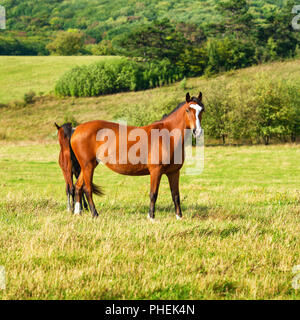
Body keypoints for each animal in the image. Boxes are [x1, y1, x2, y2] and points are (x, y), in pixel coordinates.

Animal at [71, 91, 205, 219]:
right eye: (187, 110)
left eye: (202, 110)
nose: (197, 131)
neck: (167, 137)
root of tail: (77, 129)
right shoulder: (156, 171)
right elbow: (153, 194)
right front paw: (151, 217)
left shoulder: (174, 172)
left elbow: (175, 195)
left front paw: (179, 217)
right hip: (88, 166)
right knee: (87, 189)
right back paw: (95, 214)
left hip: (87, 166)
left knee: (78, 186)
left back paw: (78, 213)